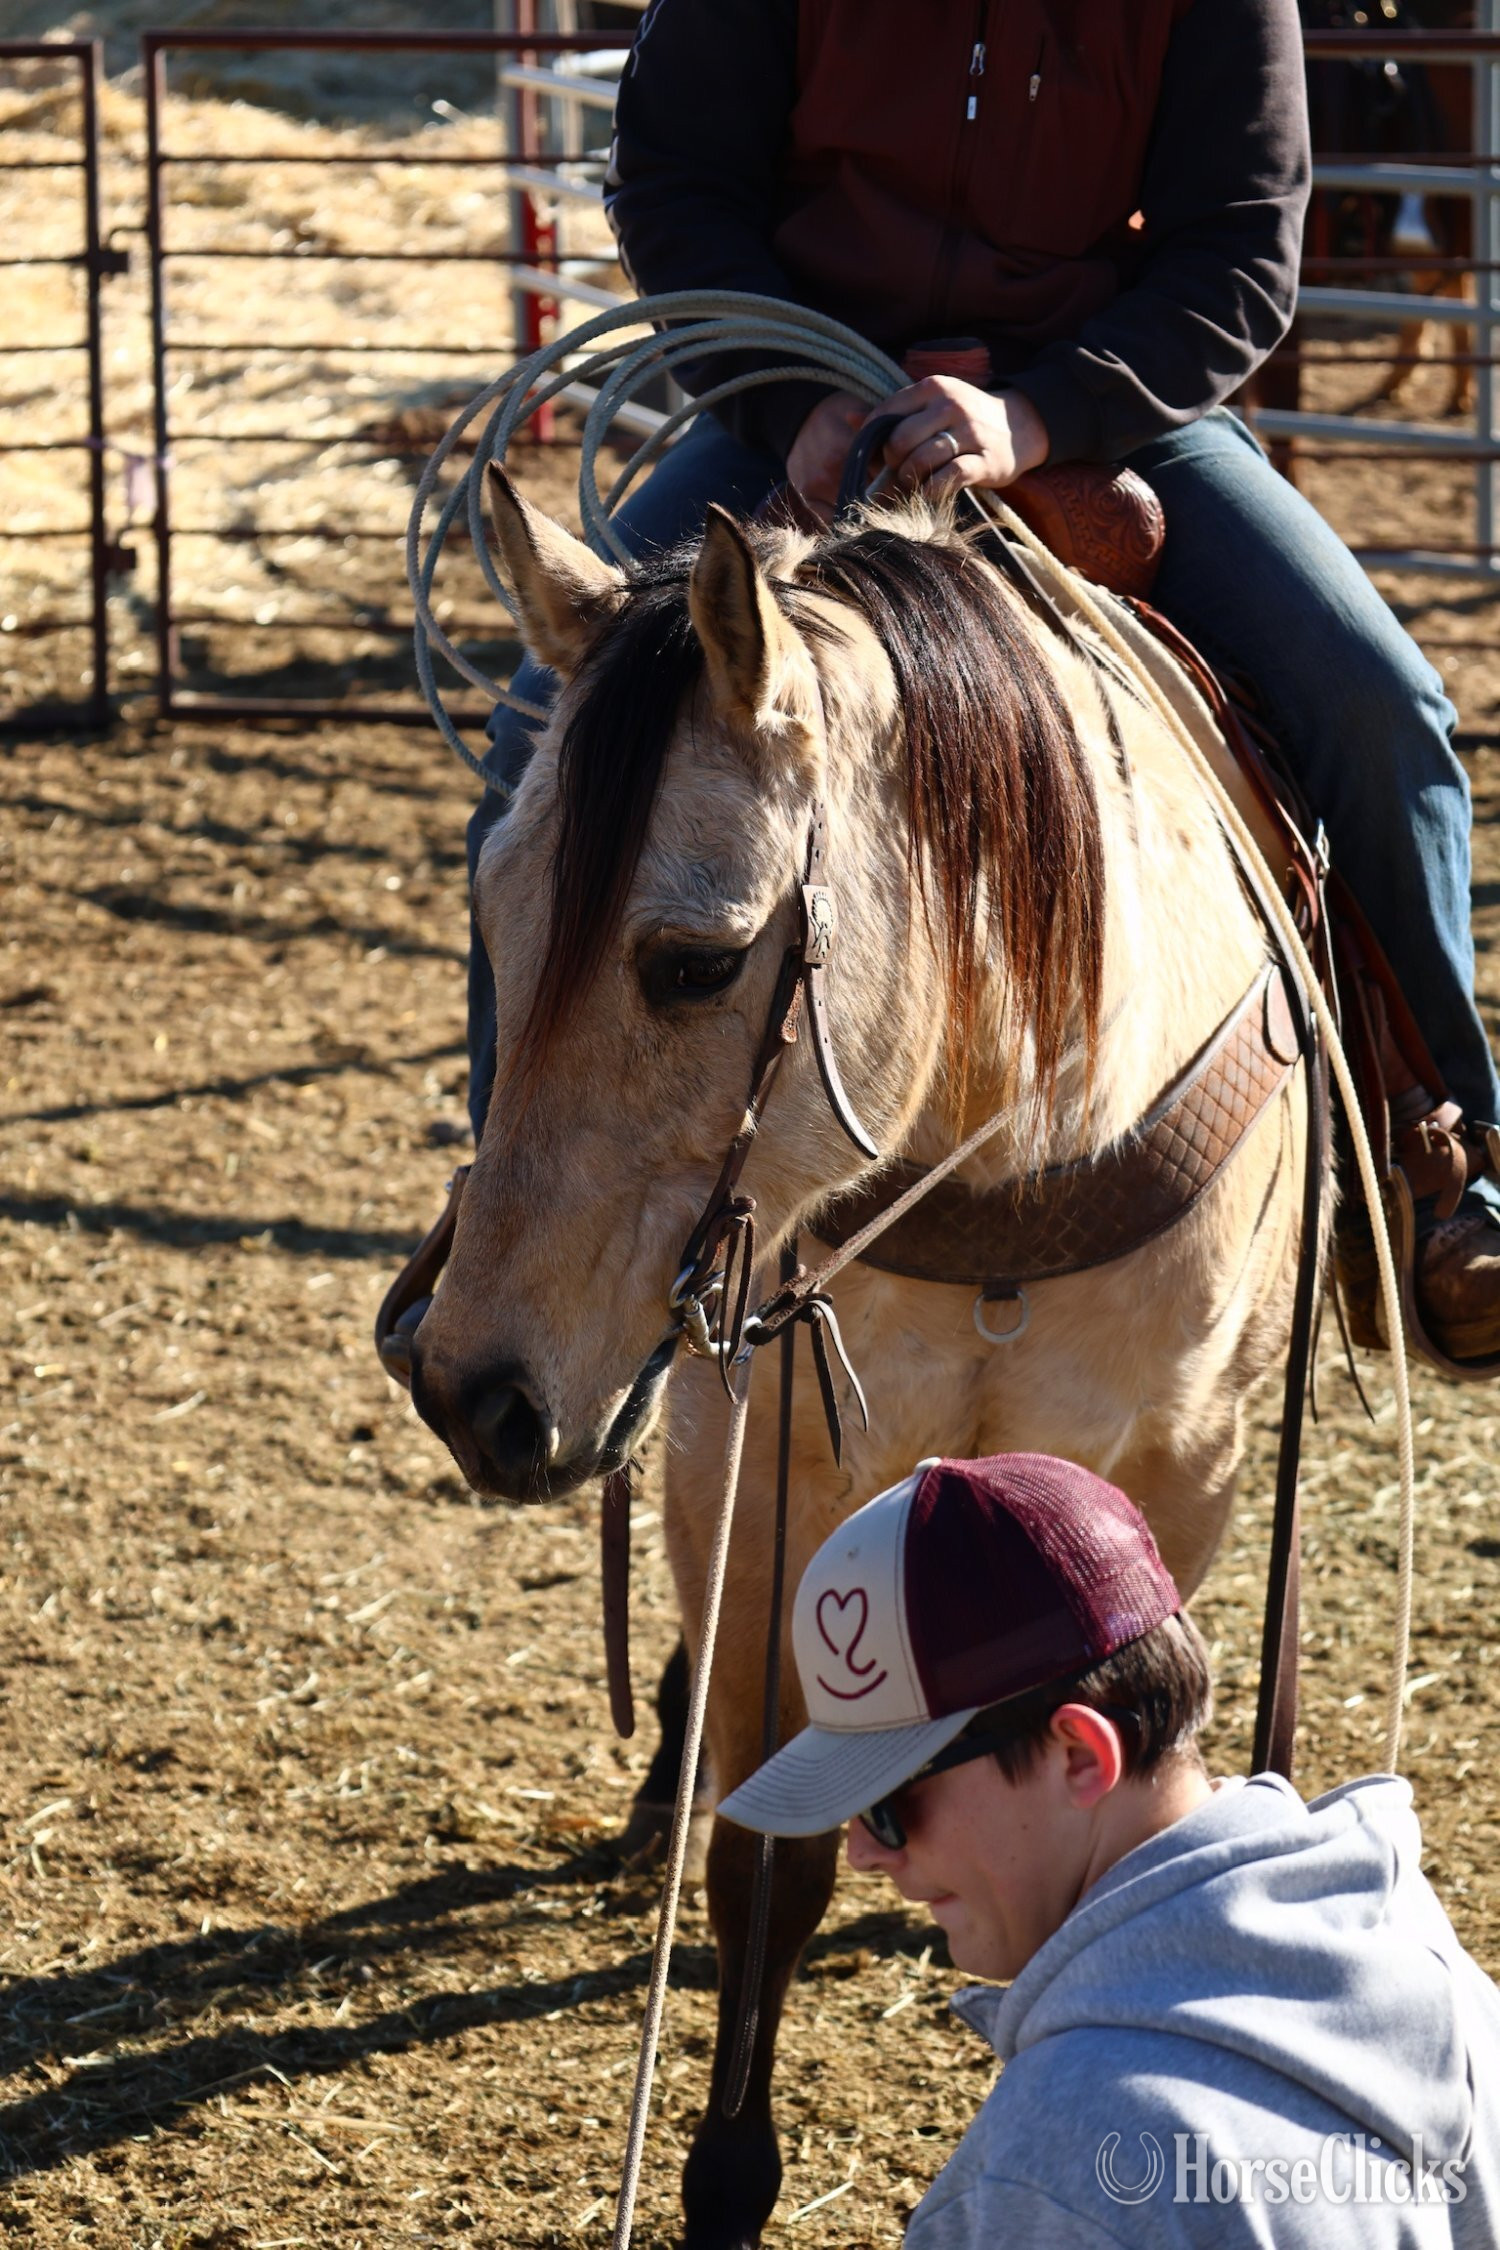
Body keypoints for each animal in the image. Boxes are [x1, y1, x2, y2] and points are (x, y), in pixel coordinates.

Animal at [410, 473, 1310, 2249]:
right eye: (492, 911)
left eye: (697, 961)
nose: (470, 1387)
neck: (1015, 1148)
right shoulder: (762, 1475)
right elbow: (769, 1860)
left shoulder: (1179, 1480)